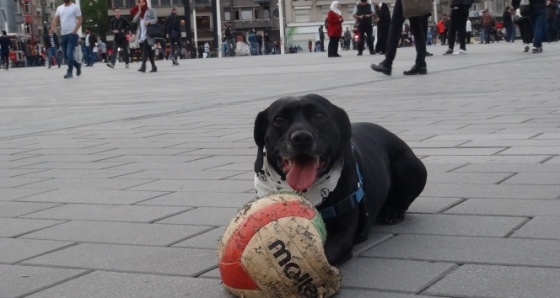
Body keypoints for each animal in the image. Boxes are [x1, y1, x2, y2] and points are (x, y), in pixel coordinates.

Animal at [252, 93, 426, 266]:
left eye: (319, 115)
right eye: (279, 119)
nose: (301, 137)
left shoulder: (344, 232)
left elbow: (325, 255)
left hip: (412, 166)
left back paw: (392, 211)